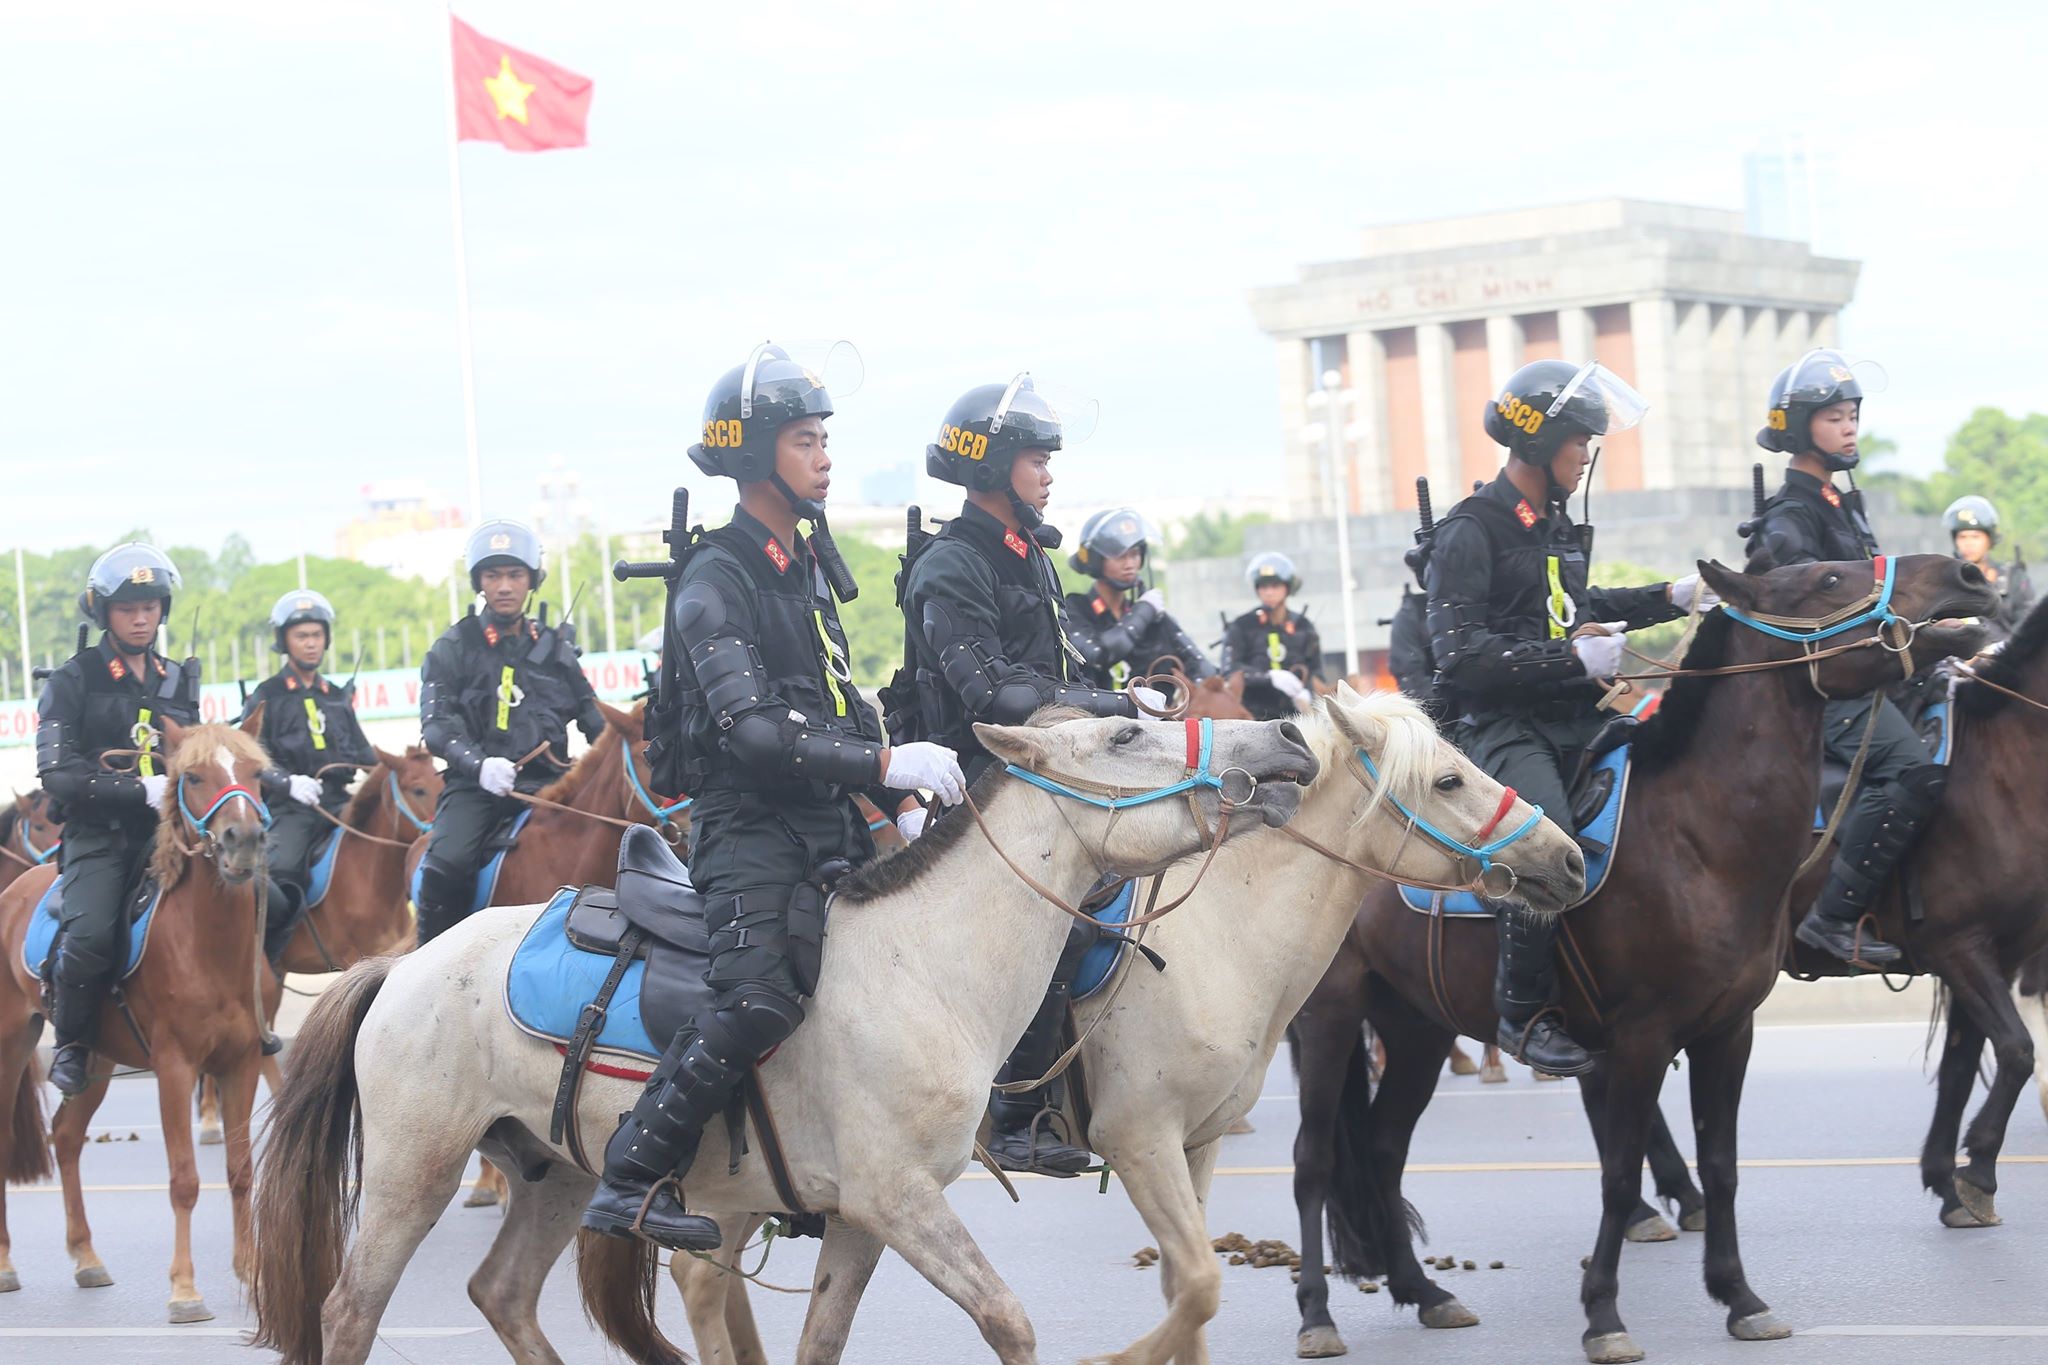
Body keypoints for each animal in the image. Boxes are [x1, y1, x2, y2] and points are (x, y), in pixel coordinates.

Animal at [0, 714, 277, 1320]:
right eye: (192, 776)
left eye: (255, 772)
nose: (242, 841)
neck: (207, 943)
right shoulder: (174, 1067)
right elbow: (184, 1180)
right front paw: (185, 1290)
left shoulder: (241, 1063)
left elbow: (240, 1171)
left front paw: (251, 1272)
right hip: (9, 1046)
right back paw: (6, 1264)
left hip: (96, 1061)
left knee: (66, 1136)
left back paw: (86, 1258)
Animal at [246, 711, 1316, 1365]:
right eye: (1127, 728)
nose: (1287, 736)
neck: (928, 964)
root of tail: (404, 967)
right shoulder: (898, 1198)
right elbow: (1009, 1321)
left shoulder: (857, 1217)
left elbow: (821, 1343)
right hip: (412, 1173)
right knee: (350, 1310)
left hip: (559, 1174)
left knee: (502, 1291)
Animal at [672, 684, 1586, 1365]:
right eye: (1448, 781)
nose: (1569, 857)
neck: (1224, 934)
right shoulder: (1139, 1136)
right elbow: (1197, 1284)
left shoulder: (1196, 1143)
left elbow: (1191, 1290)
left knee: (701, 1273)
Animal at [1284, 553, 1993, 1364]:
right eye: (1827, 576)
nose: (1968, 575)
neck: (1700, 835)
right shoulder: (1639, 1040)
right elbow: (1620, 1176)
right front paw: (1603, 1314)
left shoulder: (1728, 1032)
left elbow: (1723, 1166)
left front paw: (1740, 1297)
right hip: (1330, 1015)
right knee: (1315, 1159)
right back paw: (1317, 1314)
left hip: (1416, 1026)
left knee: (1381, 1148)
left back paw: (1423, 1290)